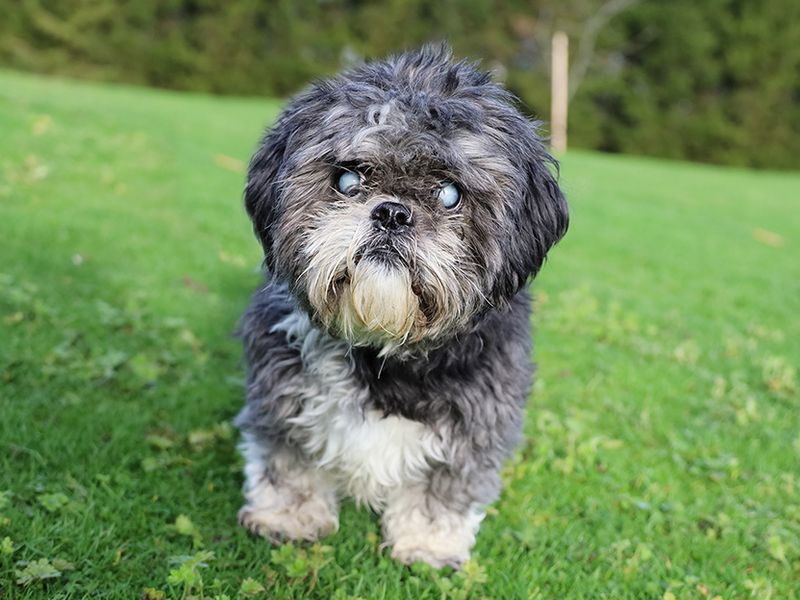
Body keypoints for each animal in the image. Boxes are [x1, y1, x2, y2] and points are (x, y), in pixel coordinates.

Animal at [233, 47, 568, 568]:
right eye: (347, 178)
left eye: (449, 193)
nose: (392, 212)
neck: (383, 347)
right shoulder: (281, 390)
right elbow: (288, 460)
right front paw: (287, 516)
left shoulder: (477, 417)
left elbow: (444, 487)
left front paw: (428, 541)